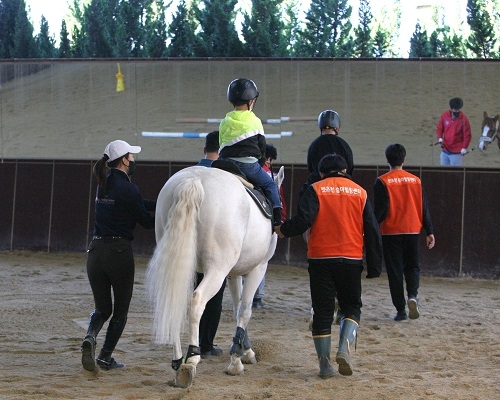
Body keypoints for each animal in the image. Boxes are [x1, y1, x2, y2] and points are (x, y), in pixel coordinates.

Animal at [146, 163, 284, 388]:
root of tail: (194, 180)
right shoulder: (258, 268)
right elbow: (244, 310)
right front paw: (236, 362)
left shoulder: (233, 274)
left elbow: (237, 308)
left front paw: (244, 351)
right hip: (217, 270)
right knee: (196, 301)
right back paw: (192, 358)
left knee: (175, 301)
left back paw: (178, 361)